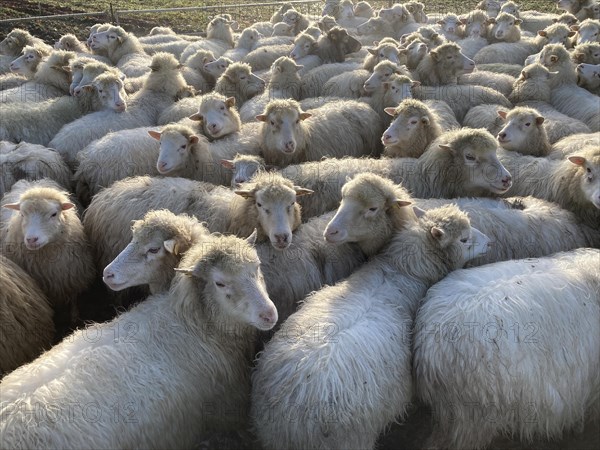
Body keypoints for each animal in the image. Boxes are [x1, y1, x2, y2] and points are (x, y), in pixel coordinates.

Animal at [0, 181, 95, 326]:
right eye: (22, 214)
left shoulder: (72, 275)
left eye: (54, 214)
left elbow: (73, 298)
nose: (31, 239)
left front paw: (74, 317)